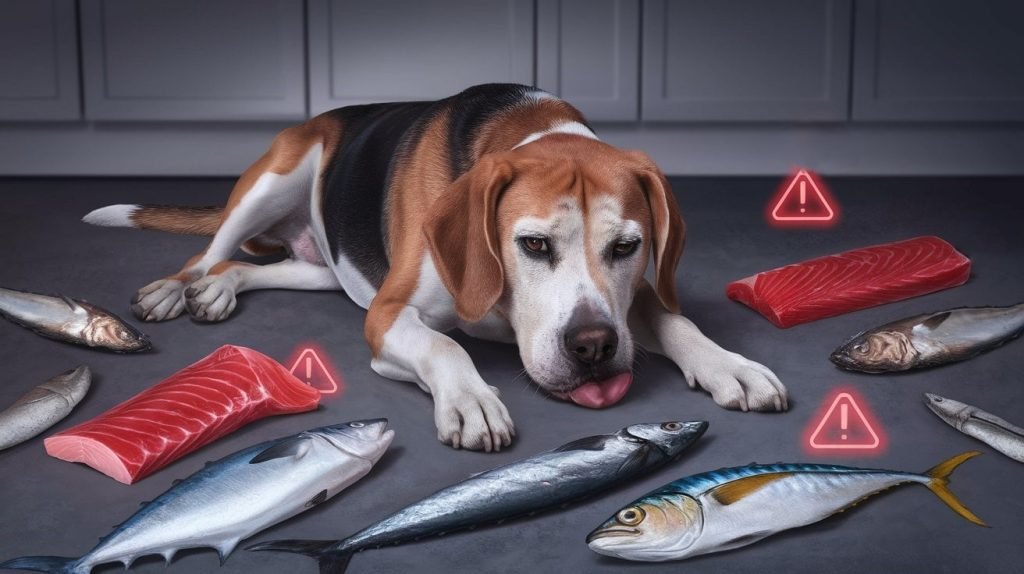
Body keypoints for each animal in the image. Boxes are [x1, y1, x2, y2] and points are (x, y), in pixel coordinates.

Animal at [86, 83, 790, 452]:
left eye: (626, 248)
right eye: (534, 245)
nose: (592, 348)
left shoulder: (632, 296)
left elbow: (675, 322)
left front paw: (729, 365)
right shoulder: (389, 314)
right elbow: (444, 346)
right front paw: (473, 401)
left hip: (328, 266)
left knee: (248, 266)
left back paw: (219, 291)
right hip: (277, 176)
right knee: (205, 253)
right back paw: (175, 290)